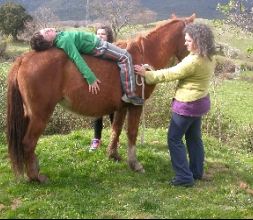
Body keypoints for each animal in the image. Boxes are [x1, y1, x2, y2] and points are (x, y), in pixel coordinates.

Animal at [6, 13, 196, 182]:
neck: (143, 54)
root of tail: (23, 58)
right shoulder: (136, 106)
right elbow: (131, 132)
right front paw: (134, 164)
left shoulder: (121, 107)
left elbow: (116, 129)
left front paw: (113, 155)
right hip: (40, 114)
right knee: (28, 142)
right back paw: (36, 177)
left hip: (29, 114)